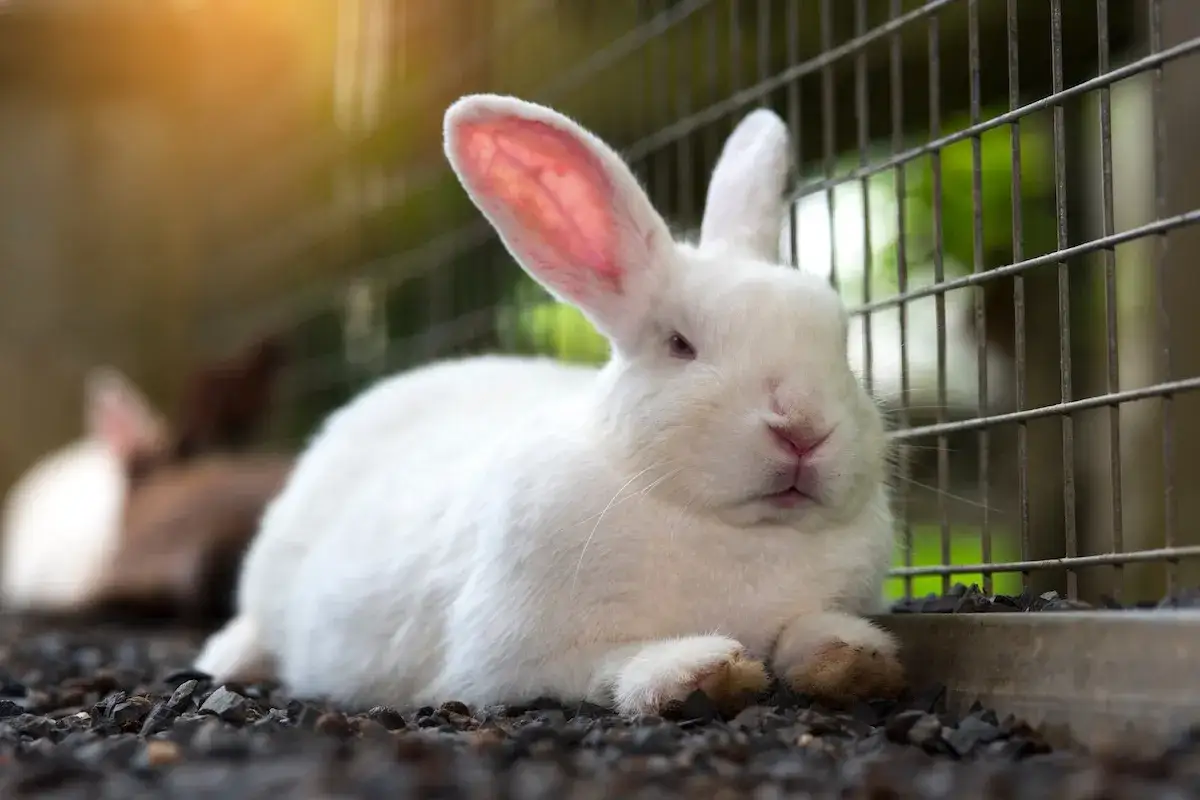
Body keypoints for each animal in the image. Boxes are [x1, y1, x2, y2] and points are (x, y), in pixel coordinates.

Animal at [194, 95, 903, 717]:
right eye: (679, 344)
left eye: (839, 340)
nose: (804, 429)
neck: (736, 533)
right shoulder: (514, 659)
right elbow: (608, 665)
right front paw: (698, 670)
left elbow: (808, 631)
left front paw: (854, 660)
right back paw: (231, 660)